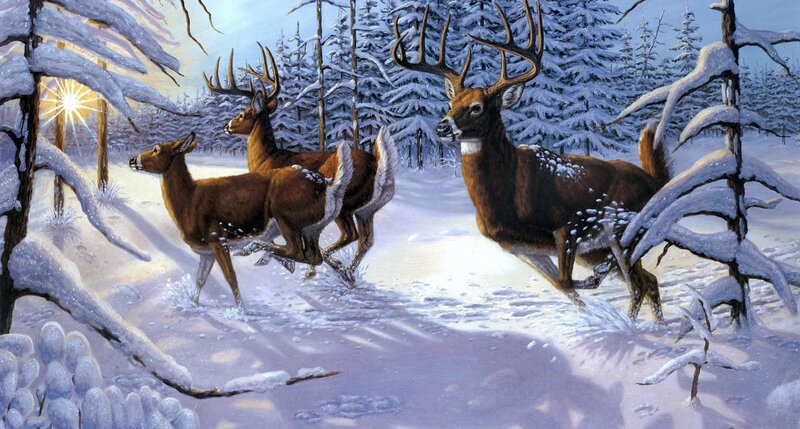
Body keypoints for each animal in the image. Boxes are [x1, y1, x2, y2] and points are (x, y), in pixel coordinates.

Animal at [129, 132, 353, 311]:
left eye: (156, 149)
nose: (132, 159)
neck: (188, 201)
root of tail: (328, 185)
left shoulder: (217, 237)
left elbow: (231, 278)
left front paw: (242, 311)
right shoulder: (206, 251)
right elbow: (200, 279)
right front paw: (192, 303)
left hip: (285, 215)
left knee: (297, 251)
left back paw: (253, 250)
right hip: (312, 228)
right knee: (313, 256)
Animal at [202, 44, 397, 283]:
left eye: (242, 113)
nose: (226, 126)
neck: (267, 159)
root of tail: (377, 164)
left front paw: (277, 261)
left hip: (346, 203)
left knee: (350, 235)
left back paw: (331, 266)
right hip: (366, 209)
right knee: (366, 239)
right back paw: (345, 272)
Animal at [392, 0, 672, 320]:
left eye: (477, 107)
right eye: (450, 103)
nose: (441, 127)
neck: (506, 198)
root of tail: (654, 182)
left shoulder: (568, 225)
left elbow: (566, 280)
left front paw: (593, 291)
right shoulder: (522, 249)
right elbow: (562, 286)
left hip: (624, 229)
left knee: (638, 283)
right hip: (601, 246)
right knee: (647, 281)